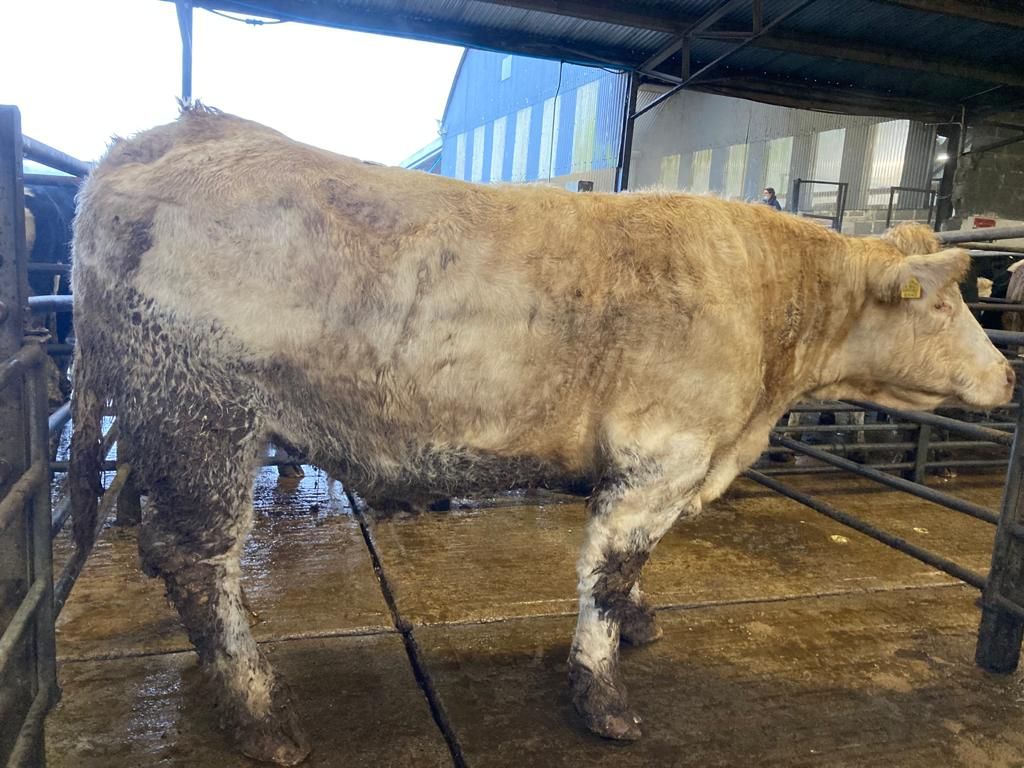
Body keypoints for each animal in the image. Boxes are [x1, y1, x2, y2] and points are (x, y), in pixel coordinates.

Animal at [69, 106, 1014, 765]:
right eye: (942, 302)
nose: (1009, 376)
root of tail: (171, 134)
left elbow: (625, 577)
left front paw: (639, 624)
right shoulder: (660, 458)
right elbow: (606, 574)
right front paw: (603, 699)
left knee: (167, 552)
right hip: (205, 421)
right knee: (199, 562)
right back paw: (260, 714)